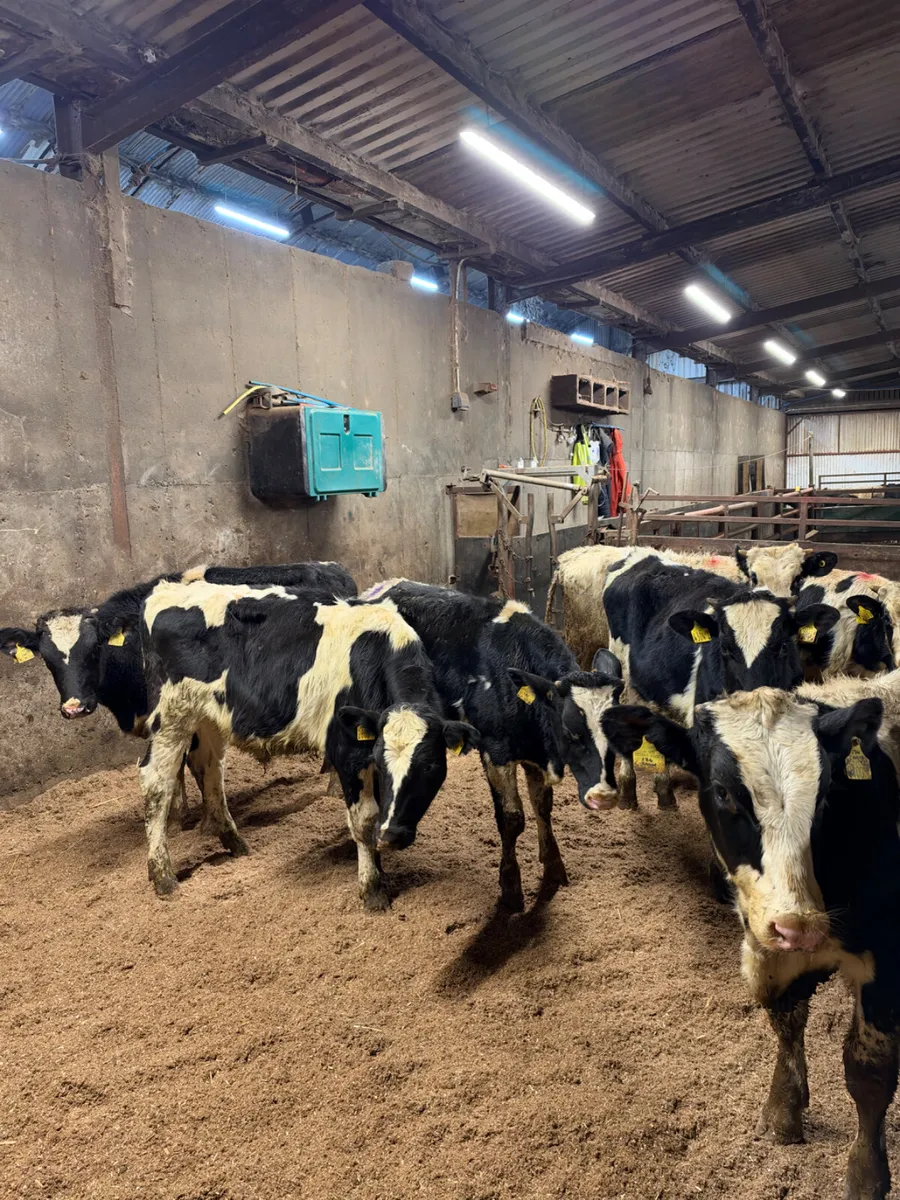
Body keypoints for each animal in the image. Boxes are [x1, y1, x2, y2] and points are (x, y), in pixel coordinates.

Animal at [137, 581, 477, 908]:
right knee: (157, 783)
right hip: (172, 715)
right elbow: (365, 821)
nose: (392, 835)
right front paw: (372, 890)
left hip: (210, 717)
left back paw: (236, 844)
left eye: (431, 767)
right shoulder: (347, 749)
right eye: (382, 763)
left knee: (209, 771)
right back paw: (163, 876)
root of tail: (166, 590)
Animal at [361, 580, 623, 911]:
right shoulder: (496, 751)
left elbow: (542, 807)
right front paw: (510, 889)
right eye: (569, 730)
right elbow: (511, 818)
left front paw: (553, 869)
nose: (604, 796)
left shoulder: (533, 753)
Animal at [602, 684, 900, 1200]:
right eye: (723, 792)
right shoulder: (768, 951)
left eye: (825, 795)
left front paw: (866, 1175)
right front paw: (783, 1112)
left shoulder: (887, 961)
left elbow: (869, 1071)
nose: (796, 926)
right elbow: (786, 1023)